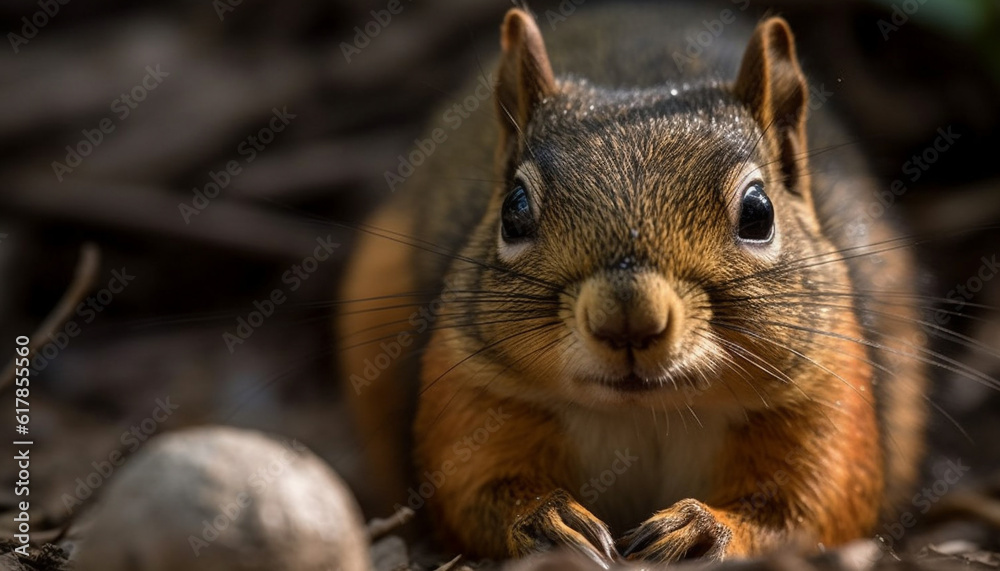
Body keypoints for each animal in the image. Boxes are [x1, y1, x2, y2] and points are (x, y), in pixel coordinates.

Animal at [338, 4, 928, 568]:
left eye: (759, 213)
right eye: (514, 211)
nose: (627, 318)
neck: (648, 413)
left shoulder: (826, 396)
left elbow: (809, 508)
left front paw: (703, 528)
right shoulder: (472, 392)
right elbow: (470, 492)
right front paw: (546, 519)